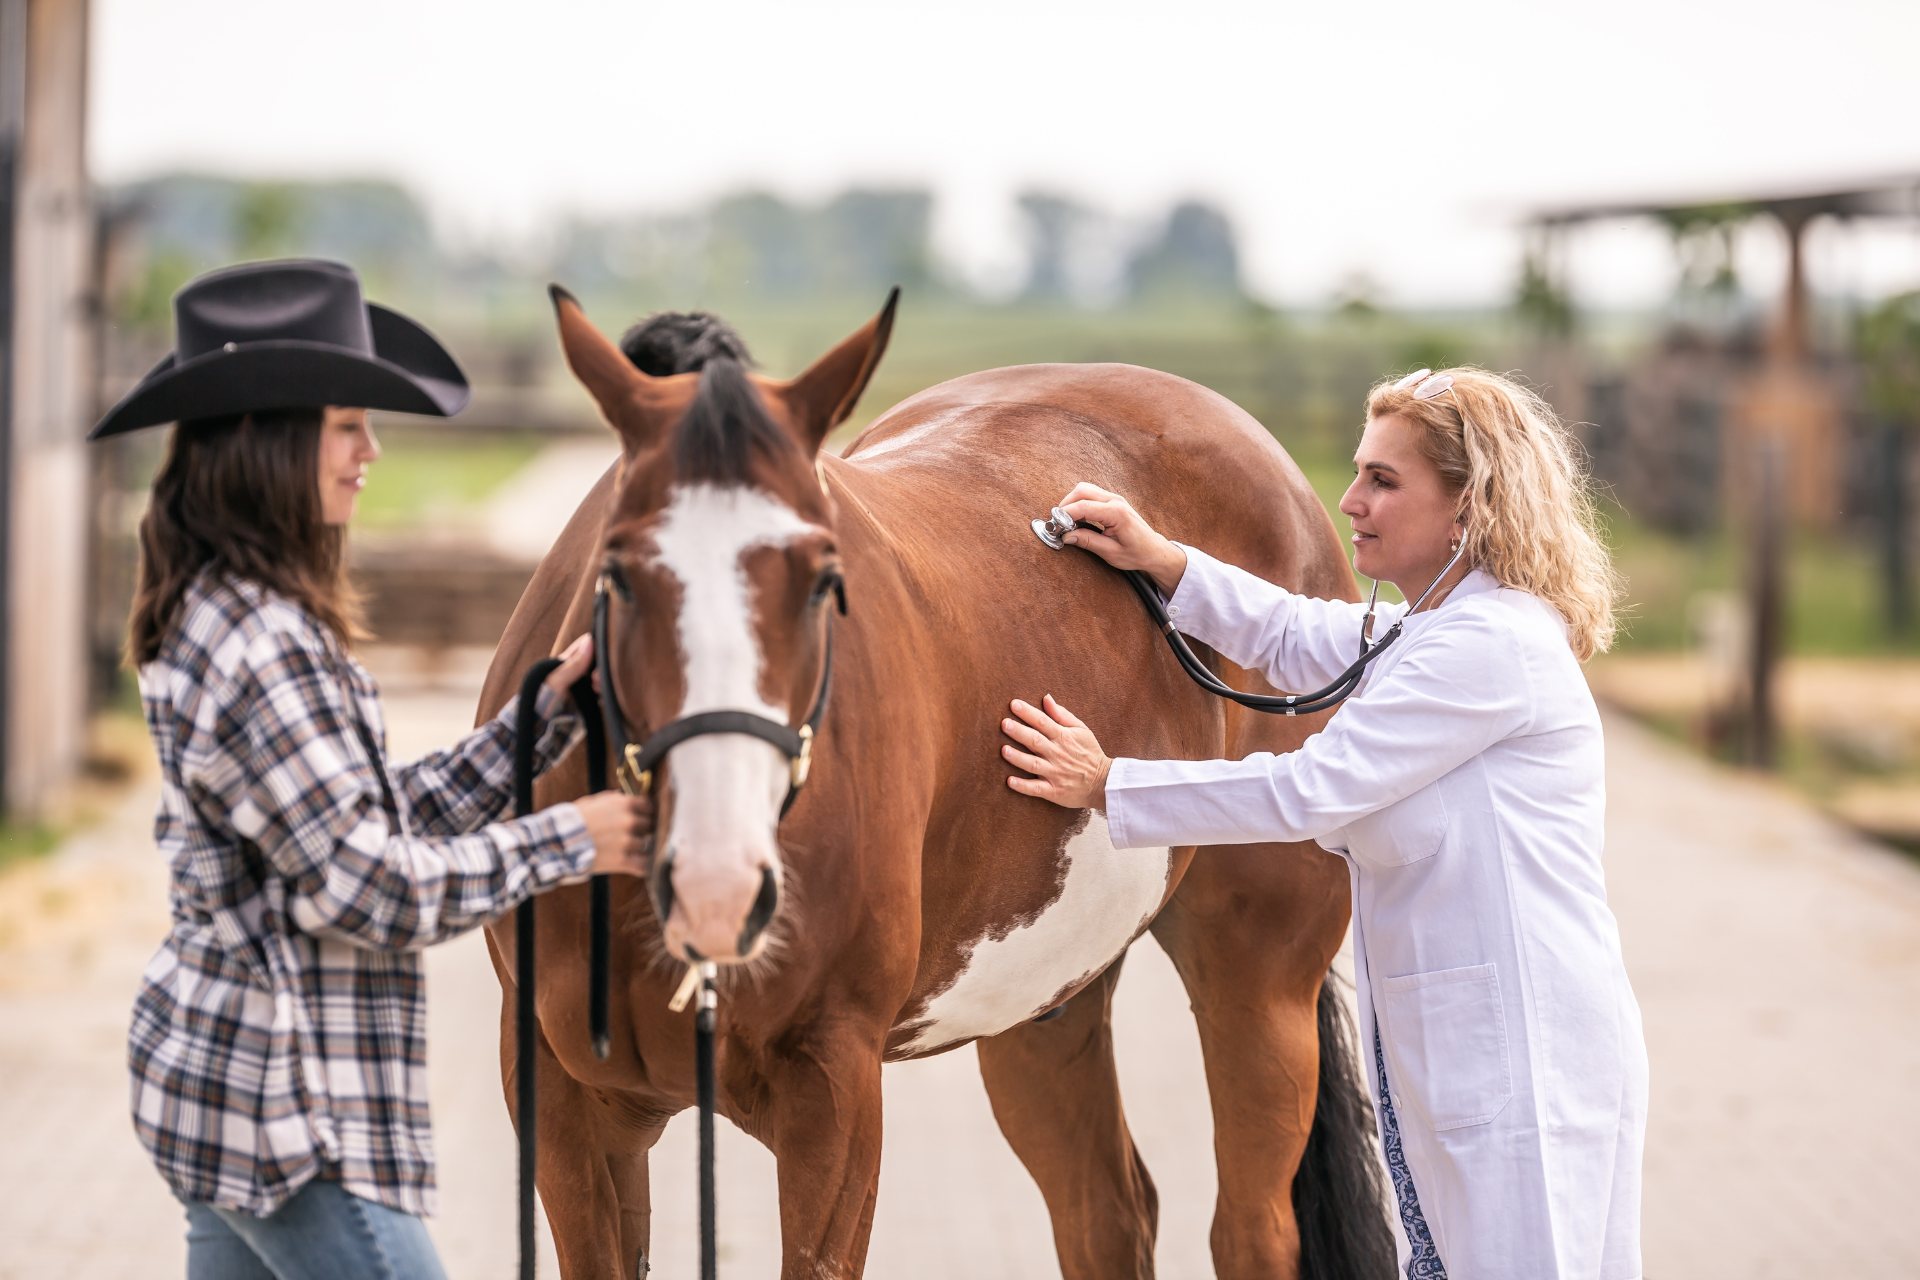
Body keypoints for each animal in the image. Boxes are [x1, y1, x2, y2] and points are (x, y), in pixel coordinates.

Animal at [477, 288, 1393, 1279]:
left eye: (825, 580)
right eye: (616, 572)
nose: (719, 883)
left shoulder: (834, 1094)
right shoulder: (566, 1103)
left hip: (1258, 986)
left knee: (1250, 1229)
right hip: (1044, 1001)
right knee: (1107, 1212)